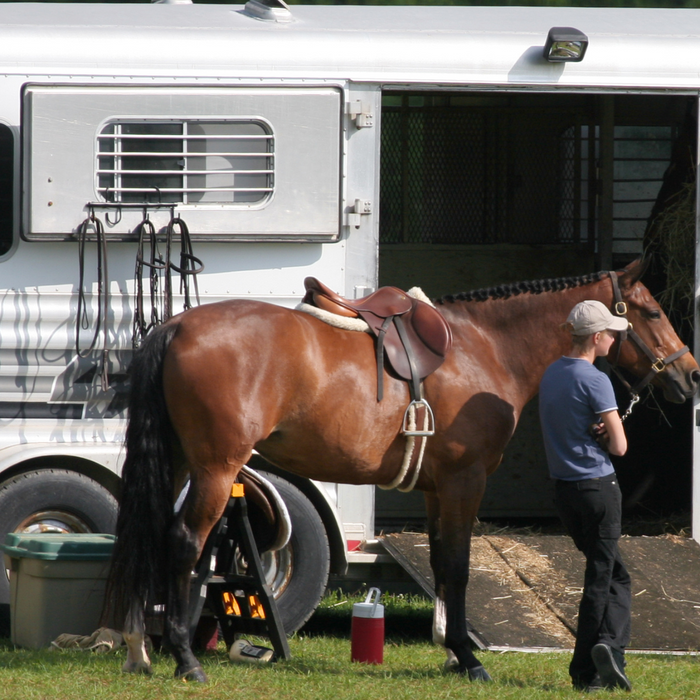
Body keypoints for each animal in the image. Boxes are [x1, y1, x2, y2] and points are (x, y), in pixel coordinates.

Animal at [106, 258, 699, 682]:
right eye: (651, 312)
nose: (691, 375)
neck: (486, 347)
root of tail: (177, 326)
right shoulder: (465, 481)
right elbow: (458, 566)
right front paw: (467, 658)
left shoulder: (437, 489)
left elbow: (440, 564)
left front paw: (451, 651)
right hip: (215, 466)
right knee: (184, 541)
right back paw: (185, 660)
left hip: (182, 463)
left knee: (147, 533)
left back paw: (138, 649)